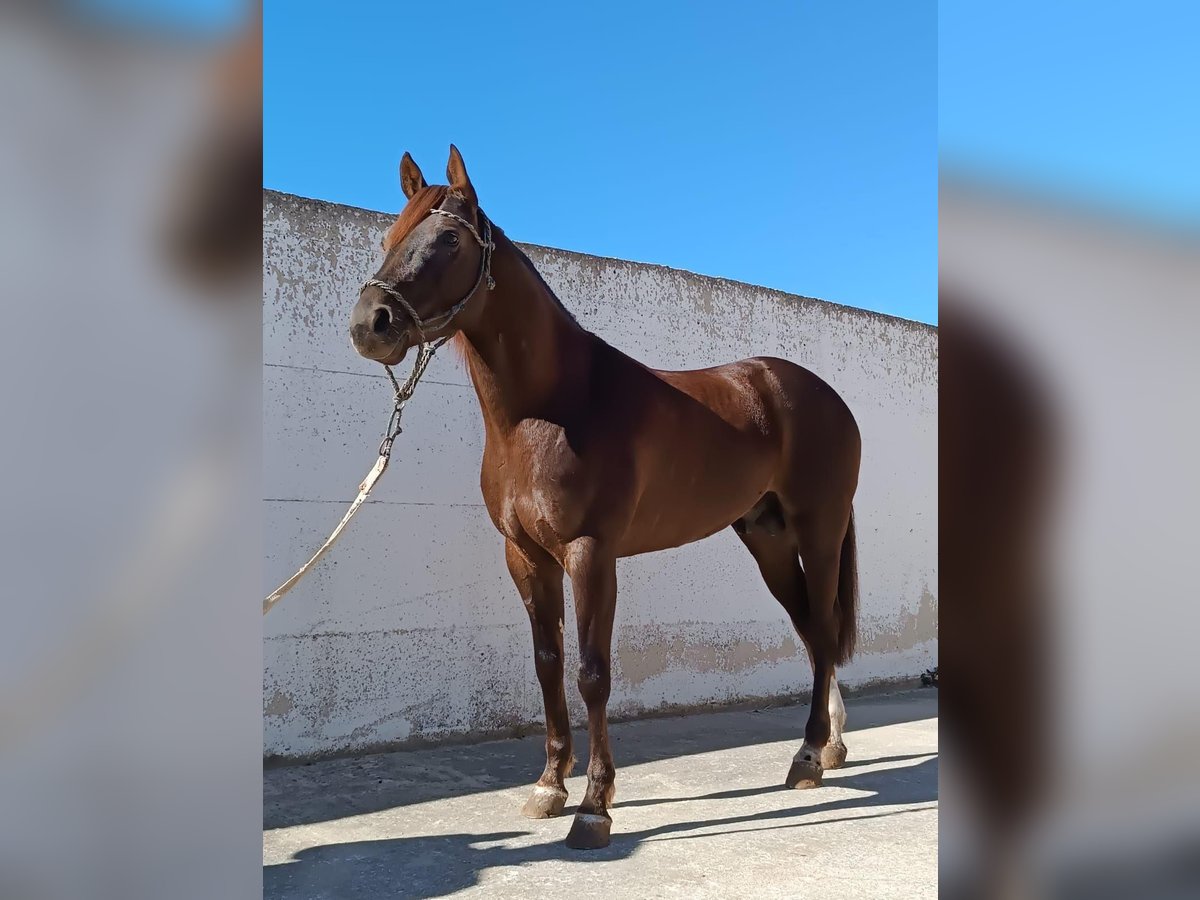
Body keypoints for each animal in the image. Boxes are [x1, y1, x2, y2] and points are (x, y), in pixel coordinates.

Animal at [348, 148, 864, 854]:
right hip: (768, 541)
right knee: (814, 633)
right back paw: (828, 748)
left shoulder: (590, 552)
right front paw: (548, 787)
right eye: (387, 239)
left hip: (818, 529)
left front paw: (595, 807)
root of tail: (821, 394)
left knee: (824, 631)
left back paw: (809, 756)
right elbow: (548, 663)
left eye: (449, 238)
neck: (551, 410)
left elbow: (593, 671)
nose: (370, 324)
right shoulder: (525, 556)